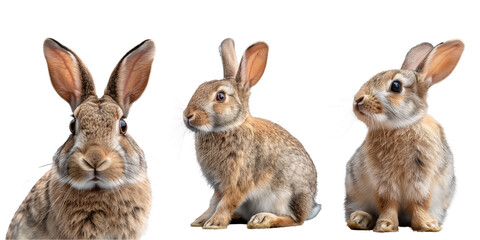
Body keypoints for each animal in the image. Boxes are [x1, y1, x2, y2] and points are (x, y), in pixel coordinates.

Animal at [183, 38, 318, 230]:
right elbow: (213, 203)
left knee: (294, 220)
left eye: (221, 96)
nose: (188, 116)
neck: (230, 127)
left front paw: (214, 224)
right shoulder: (219, 186)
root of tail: (308, 207)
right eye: (199, 87)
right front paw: (200, 220)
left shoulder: (239, 180)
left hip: (286, 197)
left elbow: (226, 203)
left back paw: (262, 219)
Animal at [344, 40, 464, 232]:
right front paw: (385, 226)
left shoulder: (422, 180)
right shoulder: (383, 182)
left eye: (396, 86)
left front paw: (427, 225)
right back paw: (359, 220)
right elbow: (388, 203)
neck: (401, 127)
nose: (358, 99)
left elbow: (419, 203)